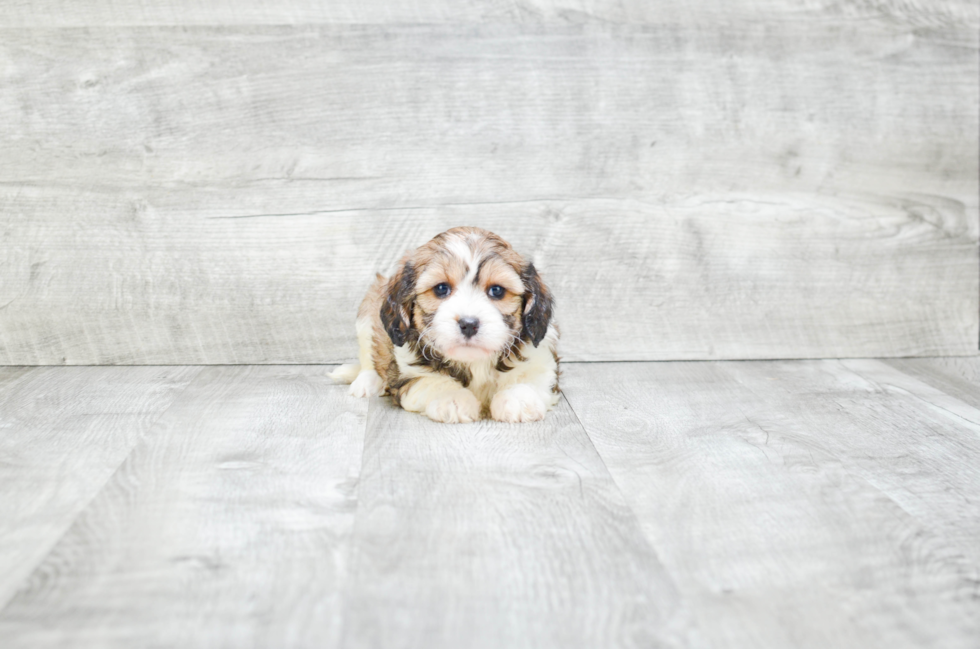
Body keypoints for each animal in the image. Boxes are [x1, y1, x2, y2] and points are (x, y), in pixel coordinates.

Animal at [330, 225, 560, 422]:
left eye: (497, 290)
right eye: (441, 289)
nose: (469, 324)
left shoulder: (542, 358)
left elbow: (531, 376)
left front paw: (518, 398)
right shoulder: (406, 372)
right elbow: (432, 381)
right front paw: (453, 399)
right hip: (368, 313)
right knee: (370, 355)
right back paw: (366, 382)